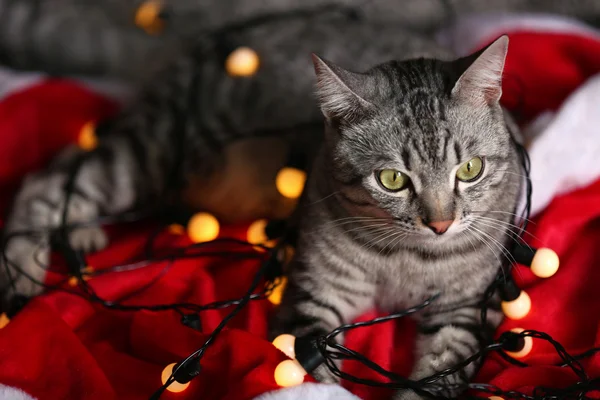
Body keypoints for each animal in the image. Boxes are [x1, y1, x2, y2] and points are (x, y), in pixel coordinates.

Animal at [270, 35, 524, 400]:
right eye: (392, 179)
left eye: (470, 169)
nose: (440, 225)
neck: (407, 258)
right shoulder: (317, 290)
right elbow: (314, 368)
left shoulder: (465, 308)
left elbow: (437, 373)